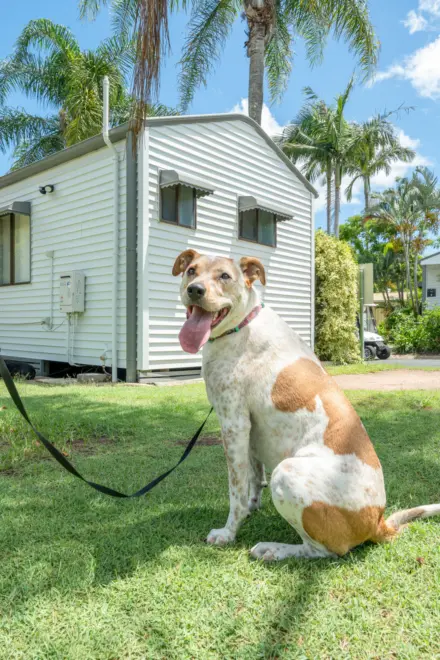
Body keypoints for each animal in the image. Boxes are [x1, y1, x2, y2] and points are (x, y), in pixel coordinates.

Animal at [173, 249, 440, 560]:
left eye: (224, 276)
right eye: (191, 271)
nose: (195, 290)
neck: (241, 326)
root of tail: (377, 521)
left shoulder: (233, 424)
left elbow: (235, 490)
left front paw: (228, 533)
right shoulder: (248, 431)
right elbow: (253, 478)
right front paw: (252, 508)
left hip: (287, 473)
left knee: (323, 551)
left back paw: (273, 549)